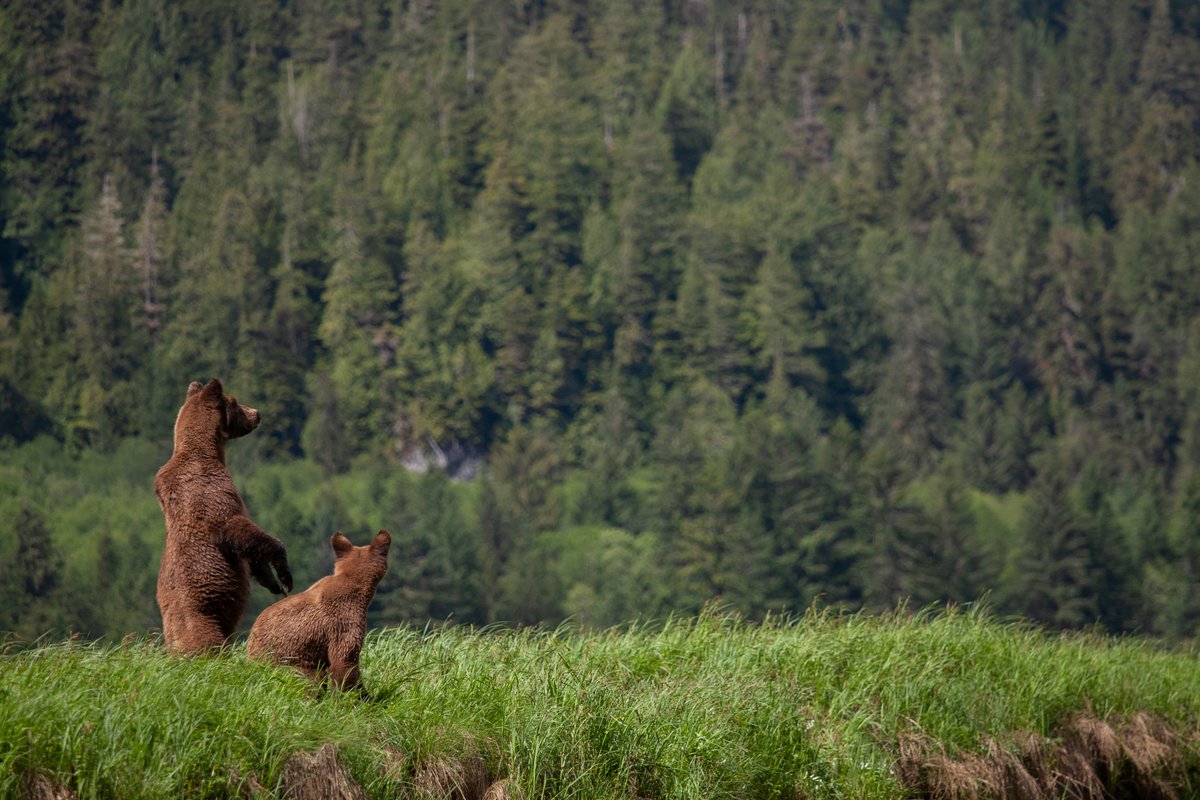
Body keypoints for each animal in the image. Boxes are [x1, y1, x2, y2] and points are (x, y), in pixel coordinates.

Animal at [155, 378, 293, 653]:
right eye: (236, 402)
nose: (257, 413)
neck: (205, 451)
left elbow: (251, 551)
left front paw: (271, 582)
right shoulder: (214, 496)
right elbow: (241, 530)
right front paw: (284, 576)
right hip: (205, 620)